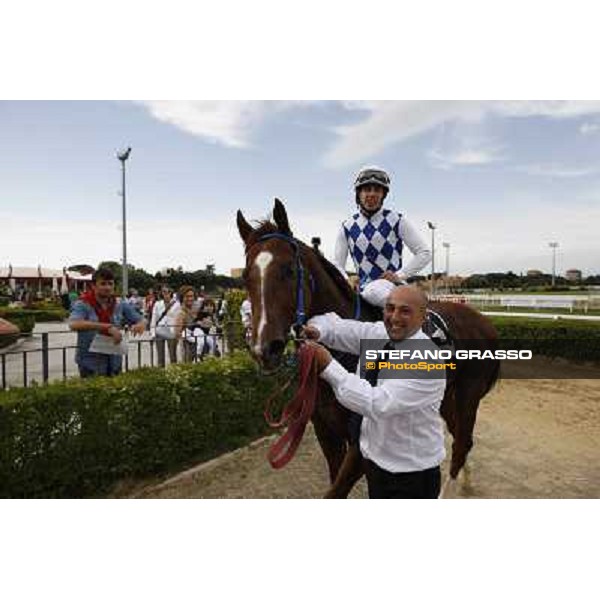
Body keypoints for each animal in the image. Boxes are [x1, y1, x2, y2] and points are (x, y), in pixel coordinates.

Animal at [237, 199, 500, 500]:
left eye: (289, 270)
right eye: (245, 276)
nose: (264, 348)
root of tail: (483, 320)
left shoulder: (362, 444)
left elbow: (336, 491)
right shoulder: (327, 432)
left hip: (469, 394)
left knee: (462, 442)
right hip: (446, 397)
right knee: (460, 438)